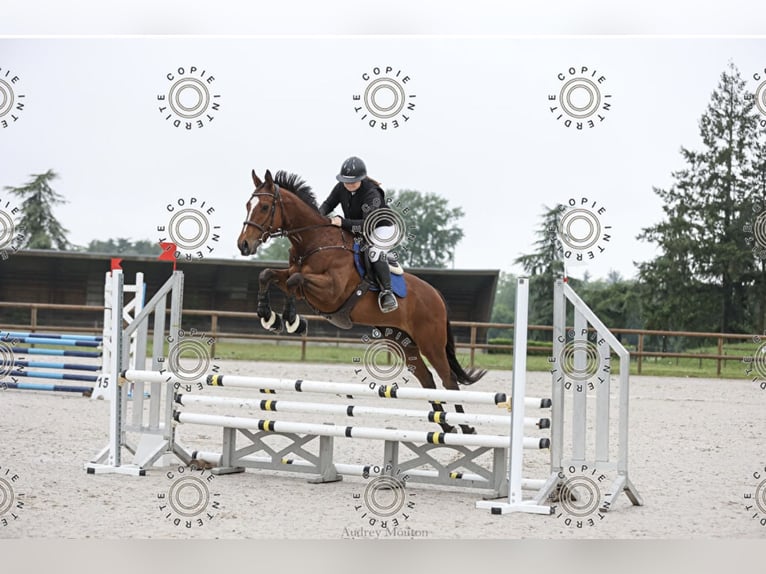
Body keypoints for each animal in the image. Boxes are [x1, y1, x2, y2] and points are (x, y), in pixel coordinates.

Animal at [236, 169, 486, 434]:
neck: (316, 241)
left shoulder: (331, 292)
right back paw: (445, 425)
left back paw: (466, 428)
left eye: (264, 207)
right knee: (427, 378)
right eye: (248, 205)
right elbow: (268, 274)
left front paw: (293, 321)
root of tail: (437, 296)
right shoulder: (296, 281)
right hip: (401, 340)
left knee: (448, 379)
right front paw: (268, 317)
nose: (243, 245)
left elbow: (295, 280)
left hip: (431, 342)